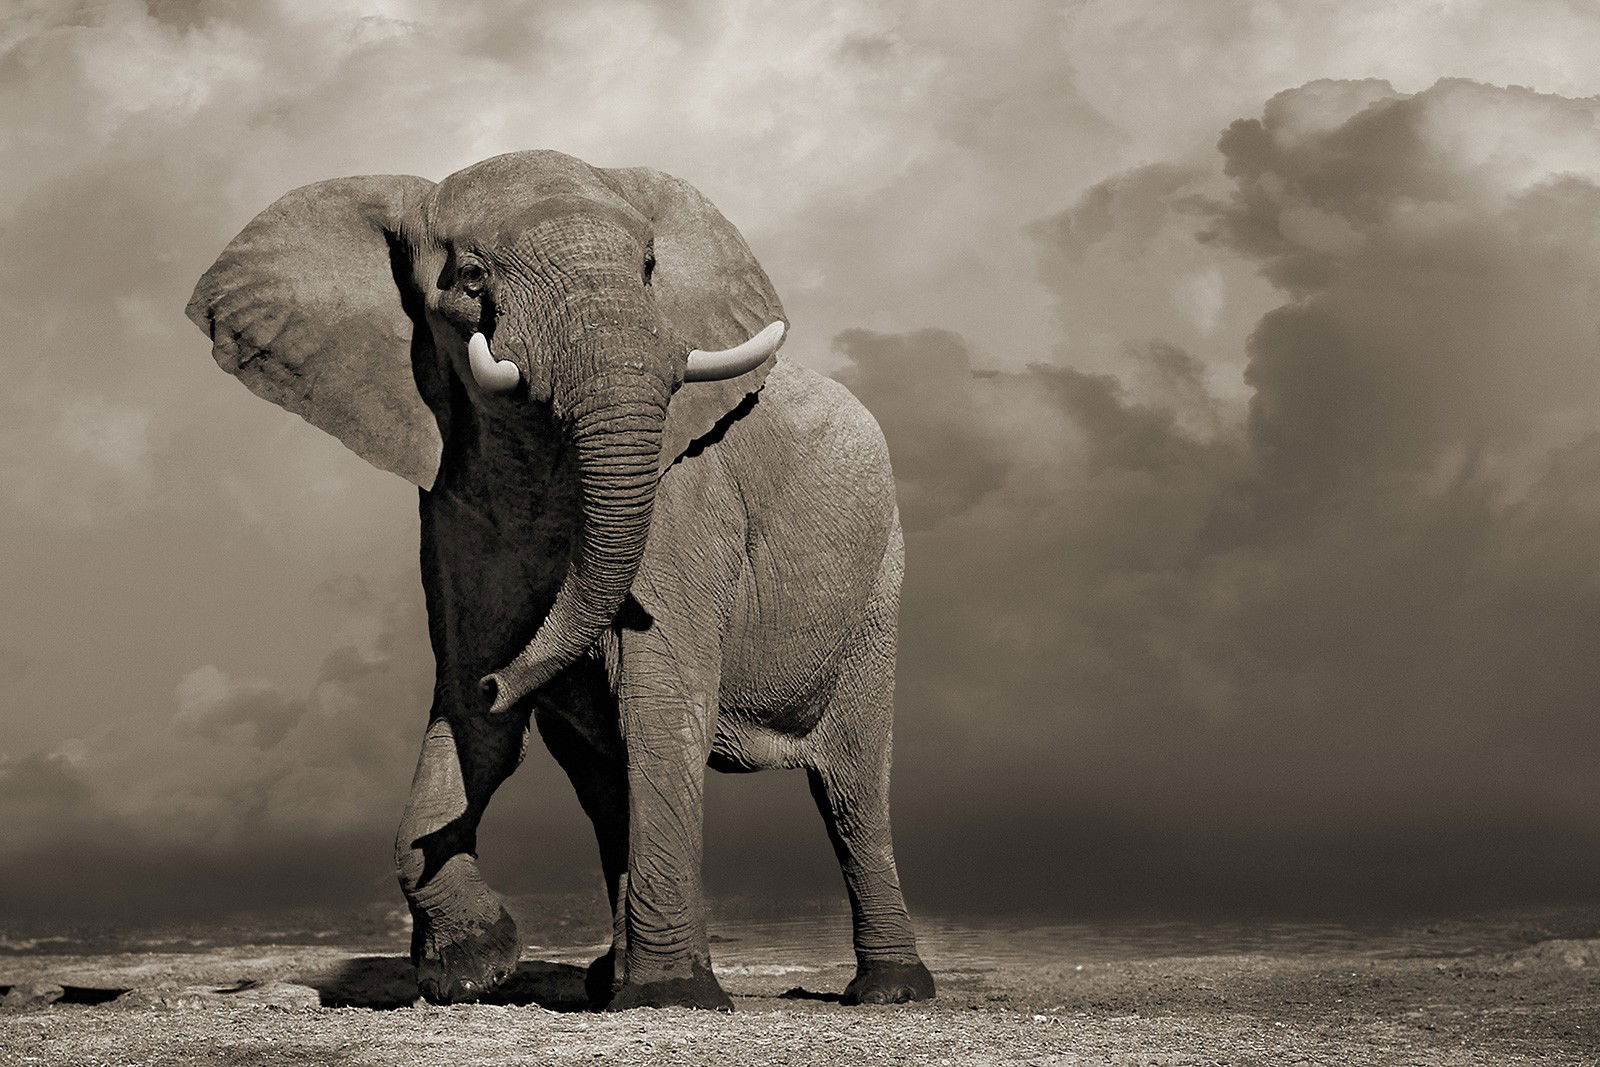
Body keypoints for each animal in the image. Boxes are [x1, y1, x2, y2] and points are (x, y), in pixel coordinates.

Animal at [186, 149, 935, 1011]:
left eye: (649, 268)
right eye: (471, 277)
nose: (501, 681)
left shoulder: (685, 500)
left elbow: (660, 698)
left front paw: (670, 998)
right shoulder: (452, 510)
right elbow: (471, 721)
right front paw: (474, 967)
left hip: (878, 583)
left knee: (851, 791)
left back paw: (890, 989)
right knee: (605, 785)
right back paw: (610, 978)